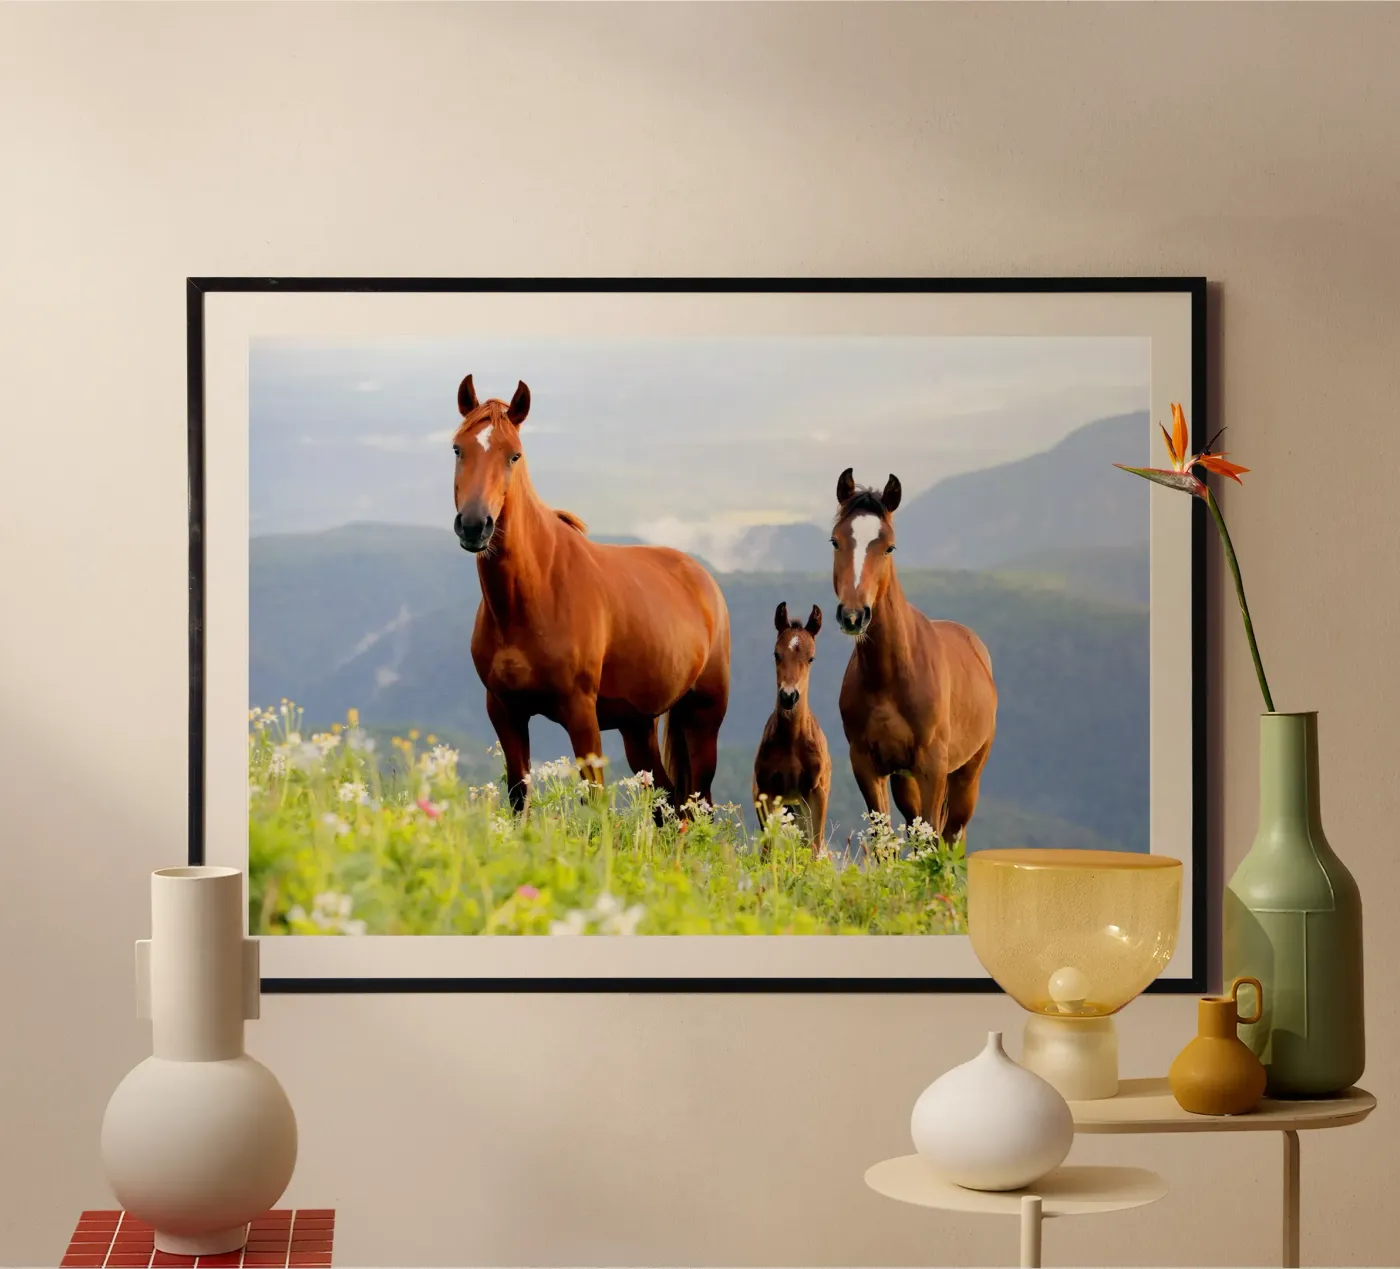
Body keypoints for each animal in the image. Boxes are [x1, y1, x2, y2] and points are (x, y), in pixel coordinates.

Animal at [450, 375, 731, 814]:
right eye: (458, 448)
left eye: (514, 456)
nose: (475, 525)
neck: (531, 597)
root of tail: (704, 580)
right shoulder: (504, 710)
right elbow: (518, 796)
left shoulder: (581, 713)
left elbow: (595, 803)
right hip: (638, 726)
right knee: (666, 801)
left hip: (704, 716)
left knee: (696, 804)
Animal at [752, 602, 831, 854]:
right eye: (776, 654)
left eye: (811, 658)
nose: (788, 696)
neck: (792, 741)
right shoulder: (767, 792)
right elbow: (768, 850)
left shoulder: (817, 792)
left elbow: (815, 847)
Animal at [830, 468, 997, 841]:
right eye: (835, 541)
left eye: (889, 546)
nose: (853, 616)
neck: (891, 676)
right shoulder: (867, 765)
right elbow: (884, 839)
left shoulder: (932, 767)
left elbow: (933, 835)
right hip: (905, 783)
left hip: (968, 775)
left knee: (951, 835)